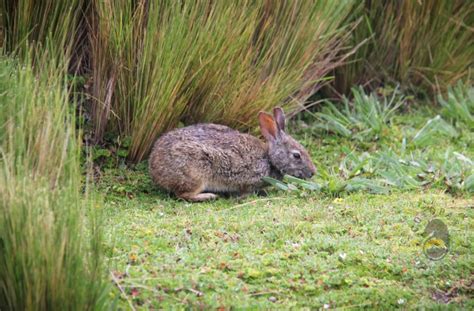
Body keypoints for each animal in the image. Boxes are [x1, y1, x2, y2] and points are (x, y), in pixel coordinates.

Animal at [150, 108, 316, 202]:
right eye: (296, 156)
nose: (313, 173)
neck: (269, 159)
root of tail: (154, 169)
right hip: (195, 174)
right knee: (183, 194)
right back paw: (208, 196)